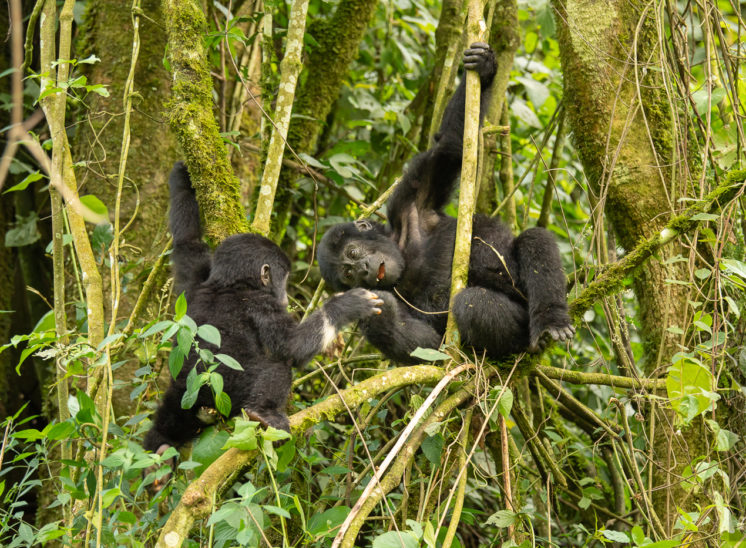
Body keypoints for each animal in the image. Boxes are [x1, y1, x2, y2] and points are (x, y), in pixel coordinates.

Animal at [143, 163, 384, 458]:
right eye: (284, 277)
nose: (285, 294)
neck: (231, 285)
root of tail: (197, 401)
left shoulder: (195, 281)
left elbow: (186, 241)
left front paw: (183, 176)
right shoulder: (262, 306)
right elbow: (293, 346)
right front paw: (348, 304)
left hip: (179, 399)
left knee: (161, 429)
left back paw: (159, 453)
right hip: (223, 392)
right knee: (277, 368)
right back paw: (263, 413)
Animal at [316, 44, 572, 364]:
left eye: (352, 252)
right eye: (348, 276)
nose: (362, 269)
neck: (401, 249)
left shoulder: (410, 198)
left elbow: (448, 148)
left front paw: (484, 68)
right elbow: (429, 347)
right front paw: (382, 309)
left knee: (534, 241)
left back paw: (551, 321)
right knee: (474, 305)